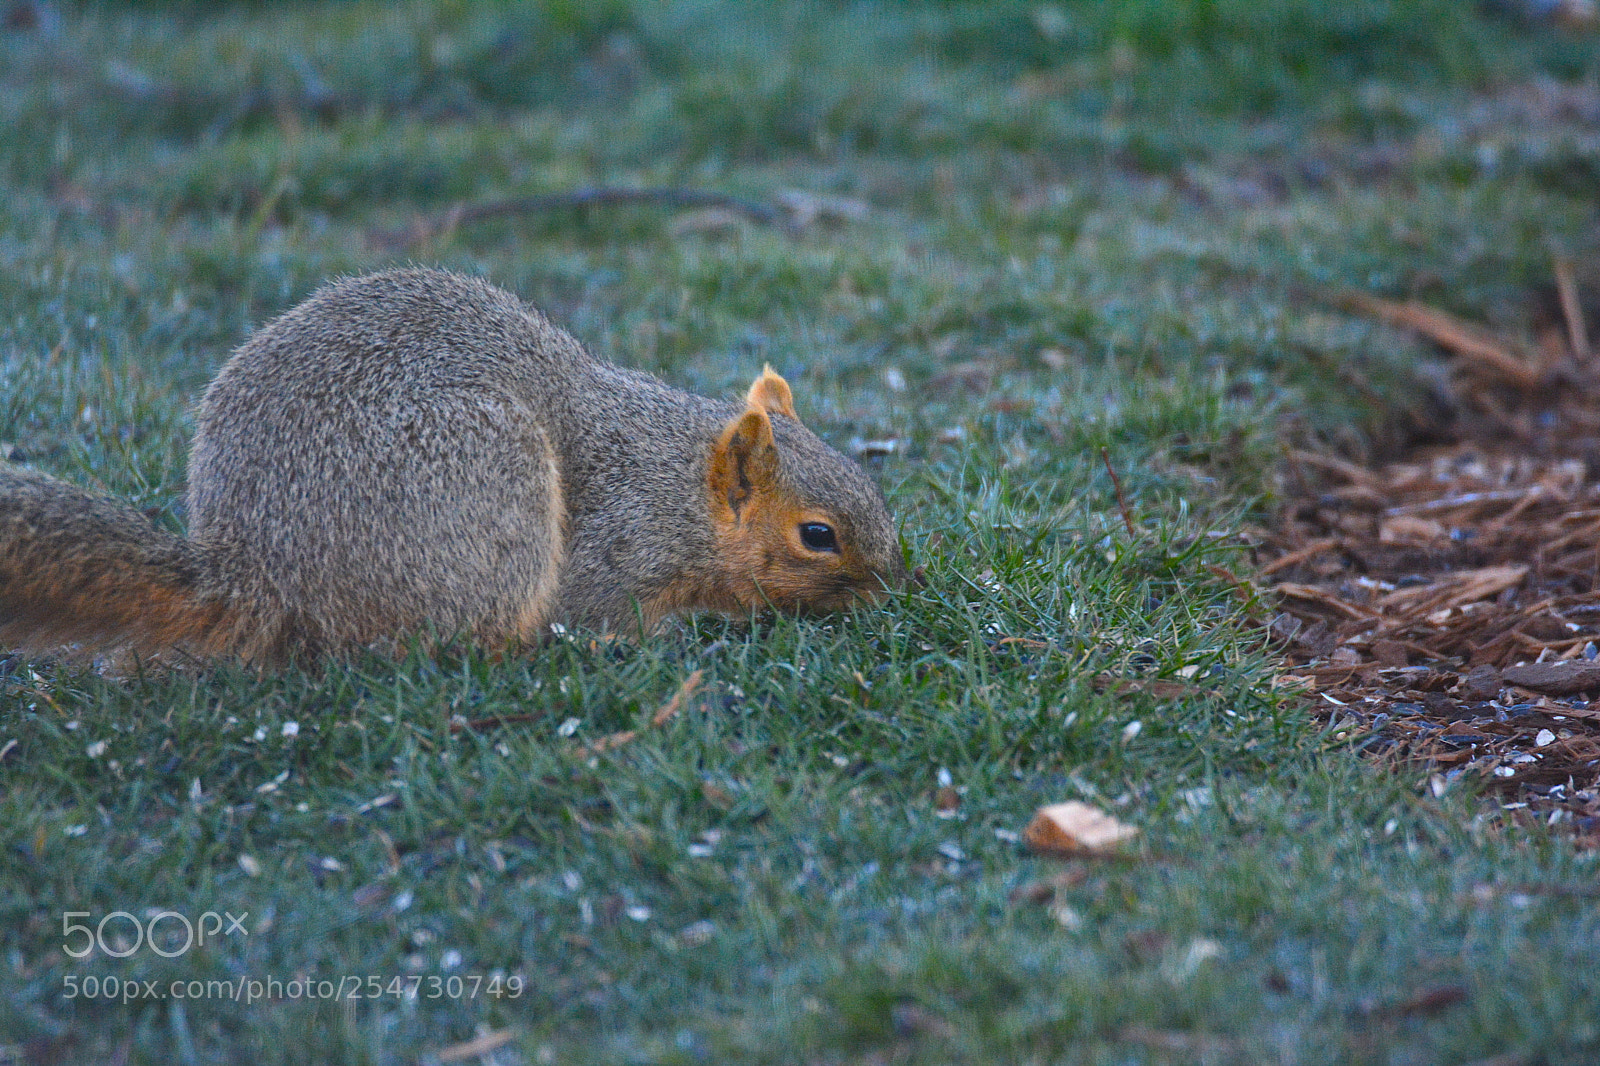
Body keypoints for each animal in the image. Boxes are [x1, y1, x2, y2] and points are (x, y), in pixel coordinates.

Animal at [0, 267, 906, 665]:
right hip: (484, 488)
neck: (677, 483)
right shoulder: (618, 551)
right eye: (817, 535)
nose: (901, 591)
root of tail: (264, 573)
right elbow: (603, 610)